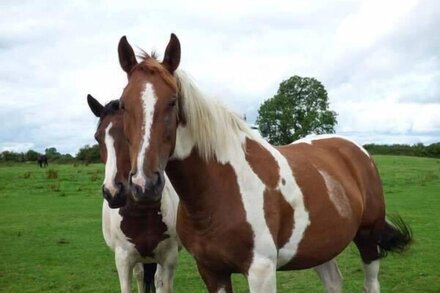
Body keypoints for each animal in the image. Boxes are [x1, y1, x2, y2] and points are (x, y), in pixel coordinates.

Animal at [115, 34, 410, 292]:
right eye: (122, 105)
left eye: (172, 102)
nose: (144, 185)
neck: (220, 188)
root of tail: (356, 151)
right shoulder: (212, 271)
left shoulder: (261, 271)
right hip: (321, 245)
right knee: (333, 281)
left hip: (368, 238)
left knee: (371, 284)